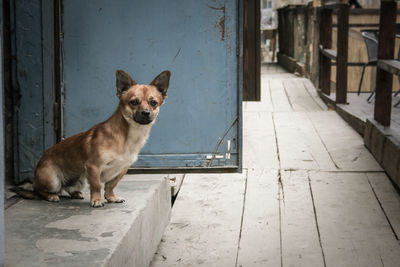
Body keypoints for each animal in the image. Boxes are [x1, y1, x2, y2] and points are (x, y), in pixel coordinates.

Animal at [13, 69, 170, 207]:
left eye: (153, 103)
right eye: (134, 102)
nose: (145, 112)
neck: (129, 136)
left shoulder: (122, 169)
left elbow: (110, 185)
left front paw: (111, 198)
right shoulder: (93, 166)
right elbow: (96, 185)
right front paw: (97, 200)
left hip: (80, 179)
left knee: (67, 189)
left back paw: (75, 194)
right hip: (52, 180)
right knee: (39, 191)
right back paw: (51, 196)